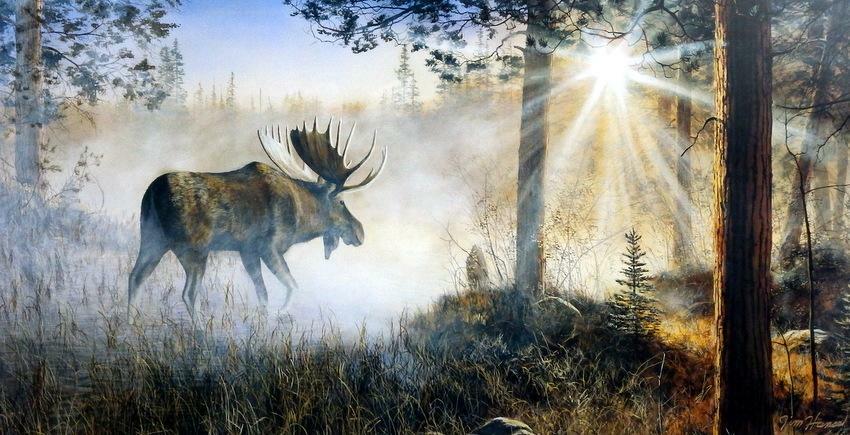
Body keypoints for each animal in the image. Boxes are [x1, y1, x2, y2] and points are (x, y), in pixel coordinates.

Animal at [127, 118, 387, 321]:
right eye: (341, 202)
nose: (360, 232)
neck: (302, 217)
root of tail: (152, 192)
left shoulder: (247, 250)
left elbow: (263, 293)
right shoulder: (268, 246)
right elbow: (292, 286)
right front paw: (281, 313)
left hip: (152, 240)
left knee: (135, 277)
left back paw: (131, 324)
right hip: (194, 248)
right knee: (189, 293)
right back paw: (200, 332)